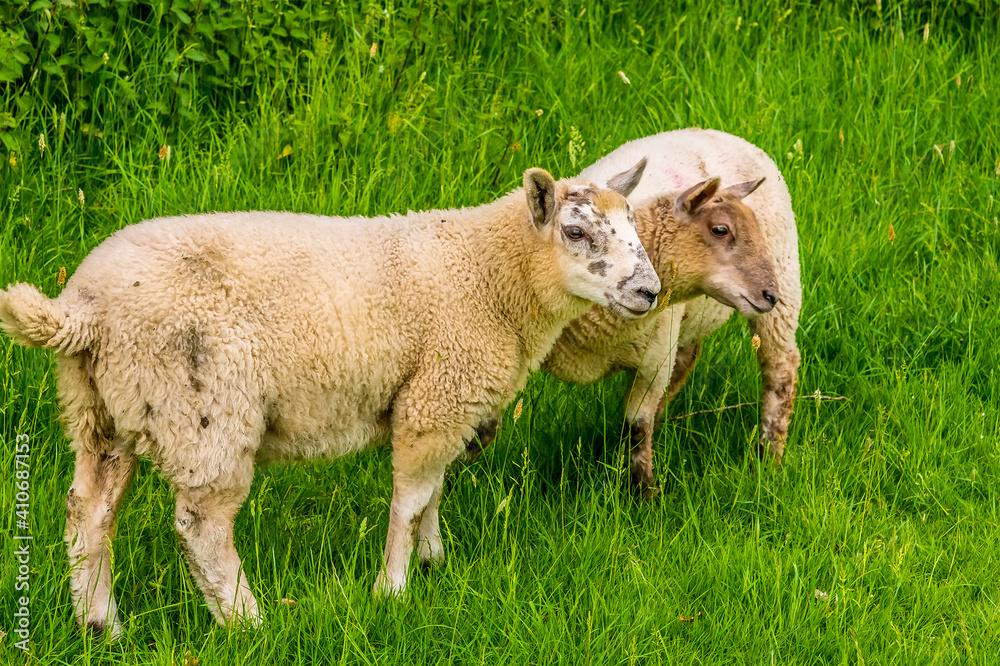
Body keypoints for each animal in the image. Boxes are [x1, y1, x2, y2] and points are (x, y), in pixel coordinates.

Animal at [0, 160, 659, 636]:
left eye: (633, 226)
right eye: (575, 231)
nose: (650, 291)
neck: (490, 273)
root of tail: (81, 311)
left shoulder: (448, 401)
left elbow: (435, 489)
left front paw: (433, 559)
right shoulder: (435, 396)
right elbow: (410, 498)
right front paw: (393, 588)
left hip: (102, 409)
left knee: (88, 511)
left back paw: (99, 624)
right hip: (203, 412)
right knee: (201, 526)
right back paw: (248, 624)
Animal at [469, 129, 800, 497]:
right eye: (720, 230)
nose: (769, 294)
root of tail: (722, 133)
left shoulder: (653, 361)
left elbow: (637, 429)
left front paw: (645, 495)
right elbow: (482, 430)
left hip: (784, 290)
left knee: (780, 373)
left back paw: (770, 455)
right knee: (687, 360)